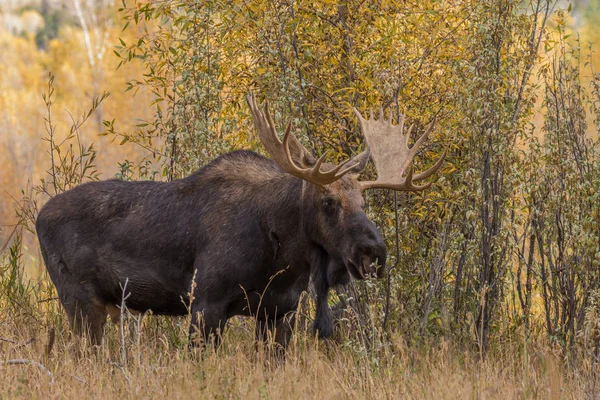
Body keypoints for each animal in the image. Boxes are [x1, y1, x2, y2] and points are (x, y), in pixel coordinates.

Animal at [34, 95, 446, 348]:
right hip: (80, 301)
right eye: (329, 201)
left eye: (364, 200)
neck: (283, 257)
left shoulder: (279, 313)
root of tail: (38, 218)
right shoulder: (205, 304)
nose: (374, 251)